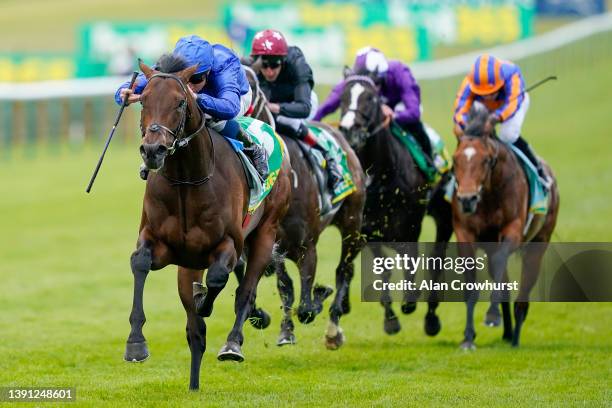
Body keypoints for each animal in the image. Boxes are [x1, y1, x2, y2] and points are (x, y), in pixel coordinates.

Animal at [124, 59, 292, 390]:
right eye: (143, 100)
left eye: (180, 102)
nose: (153, 150)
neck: (186, 181)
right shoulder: (161, 245)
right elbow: (140, 263)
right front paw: (136, 343)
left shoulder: (228, 244)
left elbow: (217, 280)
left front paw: (205, 301)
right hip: (188, 264)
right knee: (195, 333)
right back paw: (193, 384)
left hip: (265, 233)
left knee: (245, 291)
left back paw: (232, 344)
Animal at [240, 64, 366, 350]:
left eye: (249, 86)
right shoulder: (274, 245)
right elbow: (286, 288)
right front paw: (285, 331)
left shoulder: (306, 246)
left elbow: (307, 306)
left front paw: (321, 293)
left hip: (352, 223)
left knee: (344, 269)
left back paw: (334, 329)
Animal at [334, 76, 454, 338]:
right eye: (343, 98)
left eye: (371, 98)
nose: (349, 129)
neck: (382, 175)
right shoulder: (368, 229)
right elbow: (383, 270)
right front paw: (391, 320)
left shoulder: (411, 224)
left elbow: (411, 260)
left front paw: (409, 300)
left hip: (444, 216)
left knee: (437, 259)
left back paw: (431, 319)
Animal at [452, 102, 560, 348]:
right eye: (455, 160)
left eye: (486, 160)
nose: (467, 199)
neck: (489, 194)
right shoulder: (465, 233)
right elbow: (471, 282)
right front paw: (468, 337)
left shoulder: (513, 229)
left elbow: (503, 261)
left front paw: (492, 315)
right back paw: (508, 332)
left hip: (539, 243)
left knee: (523, 293)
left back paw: (516, 336)